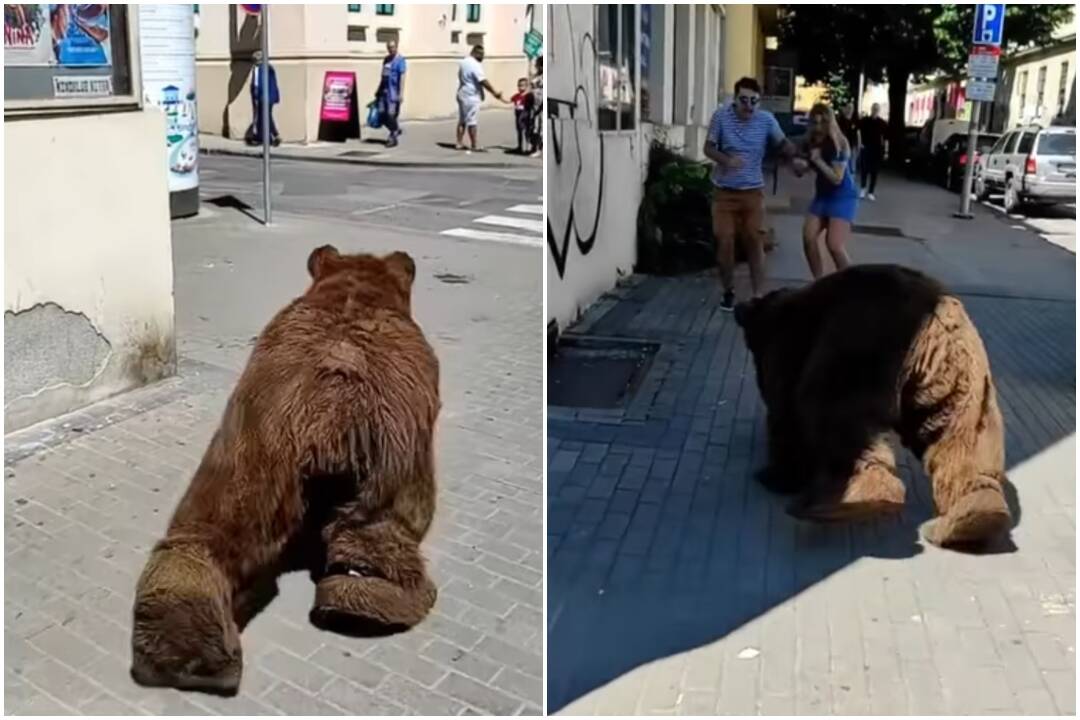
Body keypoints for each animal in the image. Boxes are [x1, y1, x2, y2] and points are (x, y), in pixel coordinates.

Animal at [734, 264, 1010, 552]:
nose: (737, 306)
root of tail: (935, 322)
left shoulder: (789, 348)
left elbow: (785, 413)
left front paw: (776, 474)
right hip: (961, 381)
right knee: (962, 441)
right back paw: (974, 521)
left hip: (857, 348)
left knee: (833, 413)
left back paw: (849, 499)